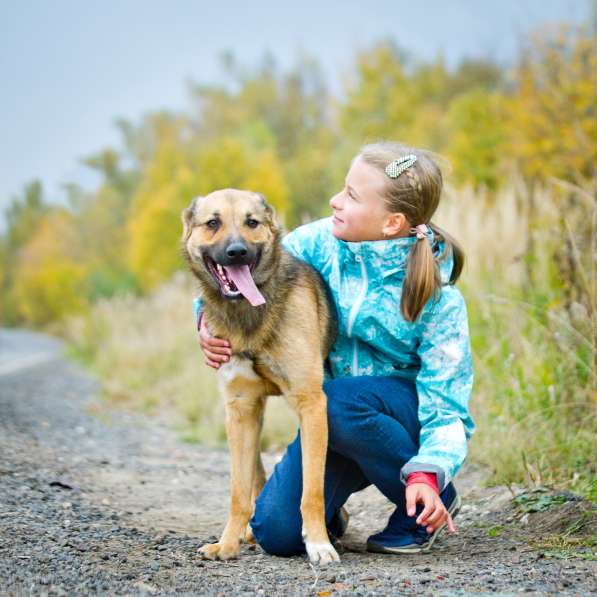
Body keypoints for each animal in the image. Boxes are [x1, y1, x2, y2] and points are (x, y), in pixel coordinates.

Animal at [182, 187, 338, 564]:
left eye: (251, 222)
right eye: (213, 223)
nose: (237, 251)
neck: (248, 315)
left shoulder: (312, 404)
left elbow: (312, 490)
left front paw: (318, 543)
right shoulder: (241, 409)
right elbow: (238, 493)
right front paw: (226, 544)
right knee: (254, 479)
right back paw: (247, 532)